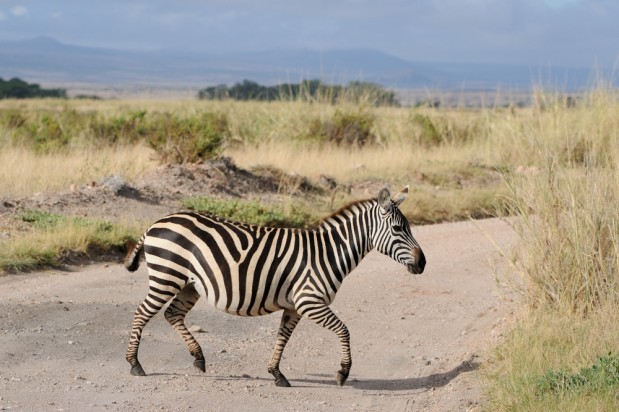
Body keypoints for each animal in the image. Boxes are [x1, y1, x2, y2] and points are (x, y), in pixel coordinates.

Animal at [124, 186, 426, 387]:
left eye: (408, 227)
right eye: (398, 229)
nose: (422, 263)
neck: (328, 252)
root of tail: (155, 223)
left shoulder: (294, 306)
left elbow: (283, 337)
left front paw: (276, 374)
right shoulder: (309, 301)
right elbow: (344, 330)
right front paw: (343, 372)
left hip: (189, 285)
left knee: (172, 314)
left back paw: (198, 358)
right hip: (166, 277)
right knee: (141, 313)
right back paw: (135, 364)